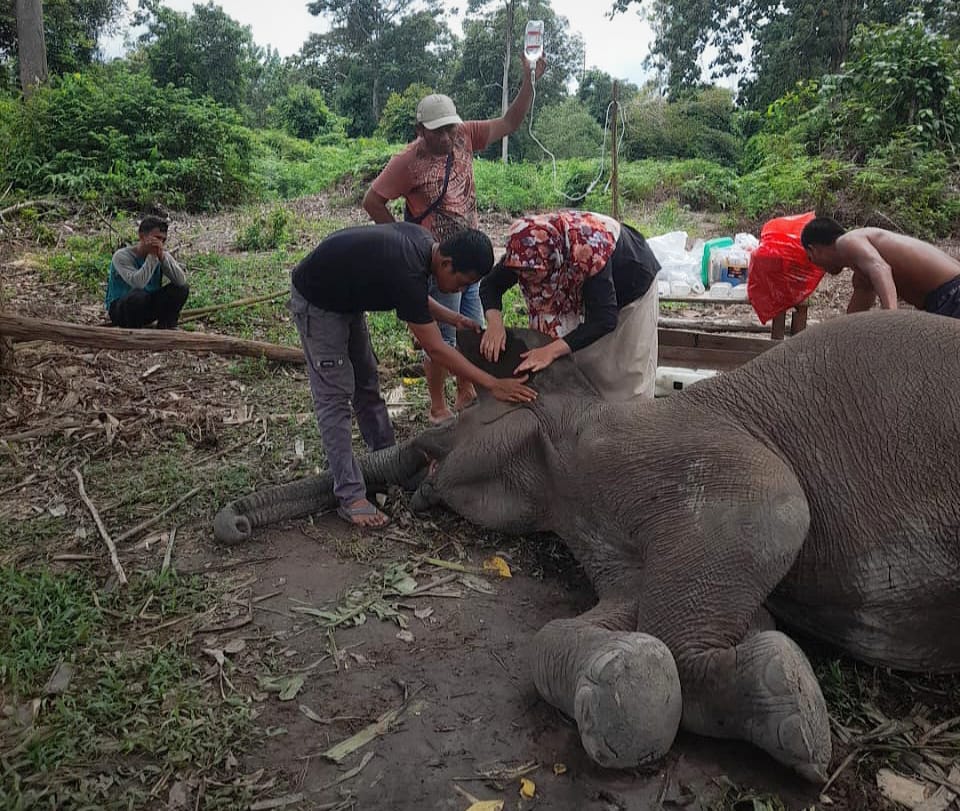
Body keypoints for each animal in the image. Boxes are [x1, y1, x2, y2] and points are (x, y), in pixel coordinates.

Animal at [218, 310, 960, 780]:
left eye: (461, 420)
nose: (231, 524)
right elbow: (672, 613)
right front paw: (637, 688)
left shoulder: (652, 450)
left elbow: (771, 501)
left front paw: (786, 708)